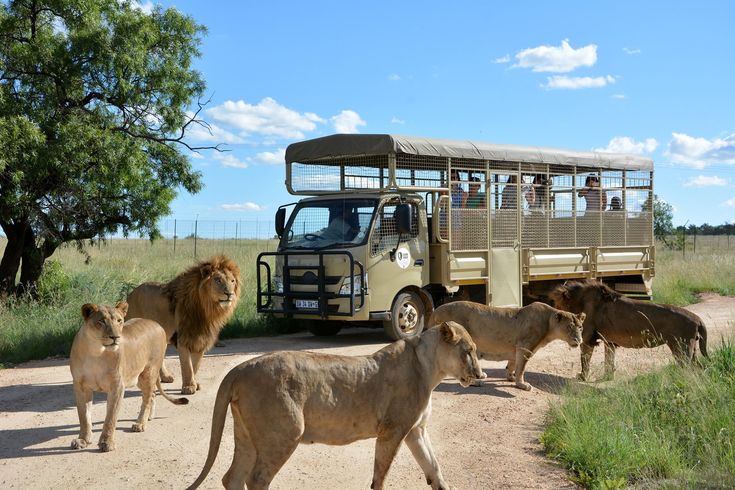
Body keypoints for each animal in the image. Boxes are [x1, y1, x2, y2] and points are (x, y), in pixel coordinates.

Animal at [69, 302, 189, 452]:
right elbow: (84, 416)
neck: (96, 351)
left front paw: (107, 443)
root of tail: (157, 324)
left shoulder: (117, 386)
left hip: (148, 373)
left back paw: (140, 424)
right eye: (101, 321)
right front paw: (82, 440)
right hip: (138, 378)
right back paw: (149, 417)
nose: (115, 337)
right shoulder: (80, 386)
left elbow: (111, 417)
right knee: (152, 394)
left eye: (119, 321)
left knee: (147, 398)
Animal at [125, 255, 241, 395]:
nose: (229, 294)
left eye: (232, 281)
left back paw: (165, 377)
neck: (207, 310)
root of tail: (130, 294)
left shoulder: (201, 339)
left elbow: (195, 365)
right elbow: (187, 366)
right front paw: (188, 387)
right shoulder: (182, 338)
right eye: (218, 280)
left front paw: (195, 384)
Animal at [186, 321, 485, 490]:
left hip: (247, 435)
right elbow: (380, 475)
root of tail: (239, 369)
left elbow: (434, 467)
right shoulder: (393, 430)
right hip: (284, 433)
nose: (481, 375)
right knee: (256, 479)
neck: (430, 368)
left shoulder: (415, 430)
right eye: (468, 351)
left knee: (233, 478)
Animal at [429, 301, 584, 391]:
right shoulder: (525, 347)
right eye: (569, 327)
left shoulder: (516, 348)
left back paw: (482, 375)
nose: (579, 340)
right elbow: (521, 368)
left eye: (580, 327)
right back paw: (476, 382)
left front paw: (511, 377)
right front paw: (522, 384)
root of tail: (435, 311)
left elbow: (512, 364)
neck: (549, 323)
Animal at [550, 280, 708, 381]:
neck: (580, 300)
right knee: (699, 368)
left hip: (681, 349)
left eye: (557, 303)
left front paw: (582, 377)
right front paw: (607, 377)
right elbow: (609, 361)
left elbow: (585, 360)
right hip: (691, 350)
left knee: (689, 369)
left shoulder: (587, 339)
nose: (554, 313)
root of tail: (698, 319)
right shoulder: (609, 341)